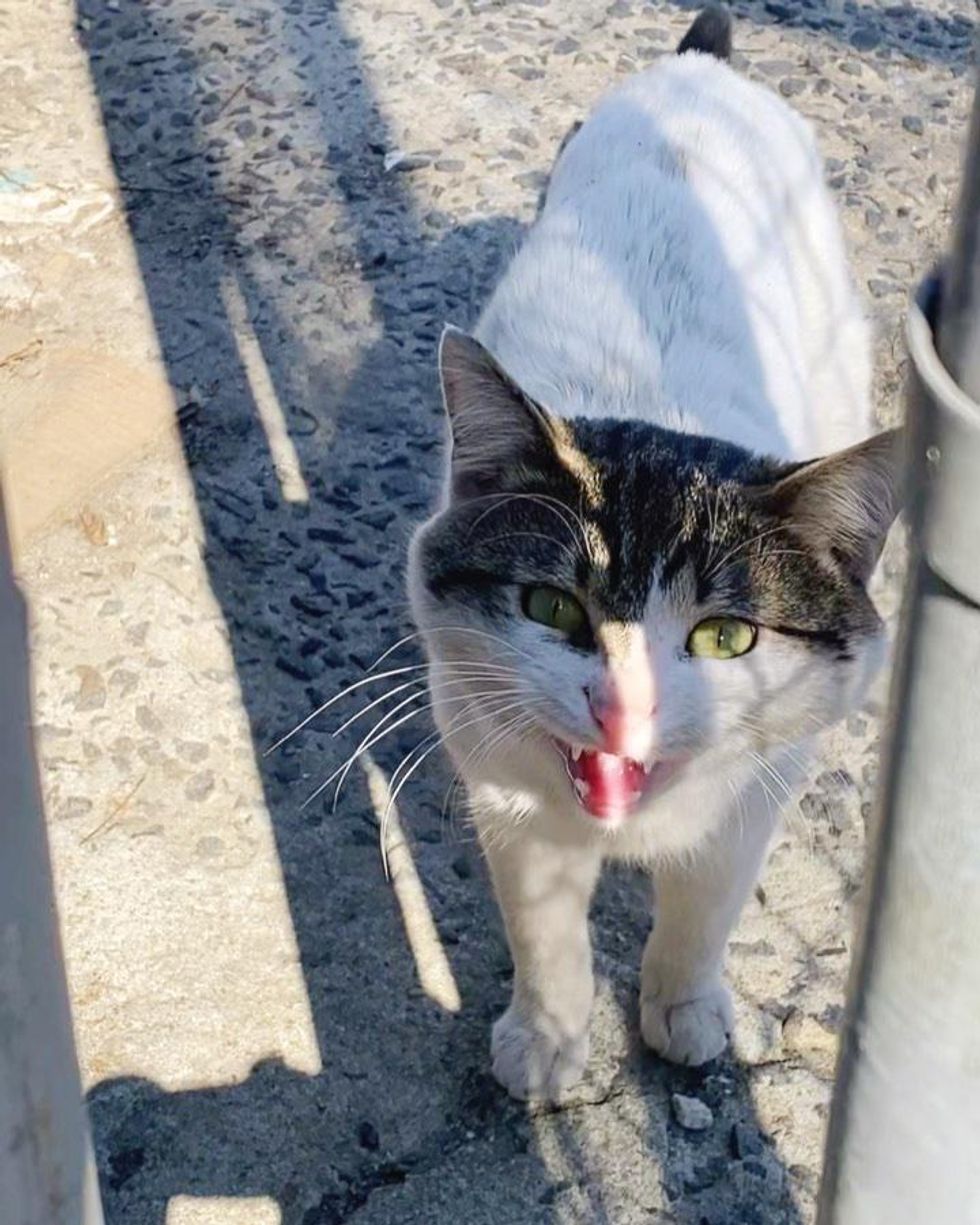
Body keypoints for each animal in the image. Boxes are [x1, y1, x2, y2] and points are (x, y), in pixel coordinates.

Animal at [404, 7, 896, 1102]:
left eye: (724, 637)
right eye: (551, 608)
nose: (621, 710)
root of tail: (697, 70)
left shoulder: (759, 789)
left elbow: (705, 904)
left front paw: (683, 1005)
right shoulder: (504, 783)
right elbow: (542, 932)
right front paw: (545, 1038)